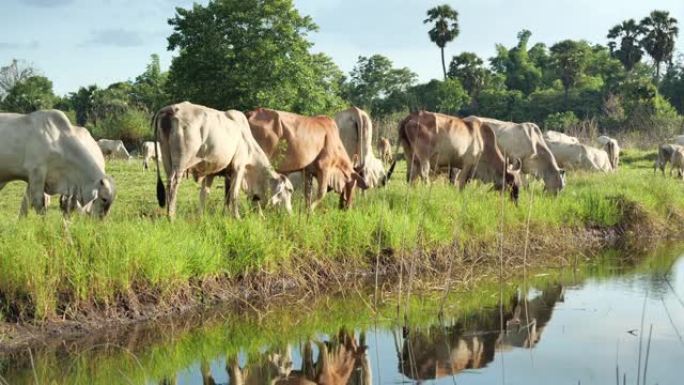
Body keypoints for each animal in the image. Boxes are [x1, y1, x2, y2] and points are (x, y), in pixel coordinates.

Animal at [154, 100, 292, 218]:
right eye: (289, 190)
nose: (290, 213)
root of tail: (171, 109)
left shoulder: (213, 172)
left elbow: (206, 194)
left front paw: (203, 216)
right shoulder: (239, 167)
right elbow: (234, 194)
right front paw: (237, 217)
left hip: (167, 160)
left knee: (168, 182)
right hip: (181, 163)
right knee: (173, 185)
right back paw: (171, 217)